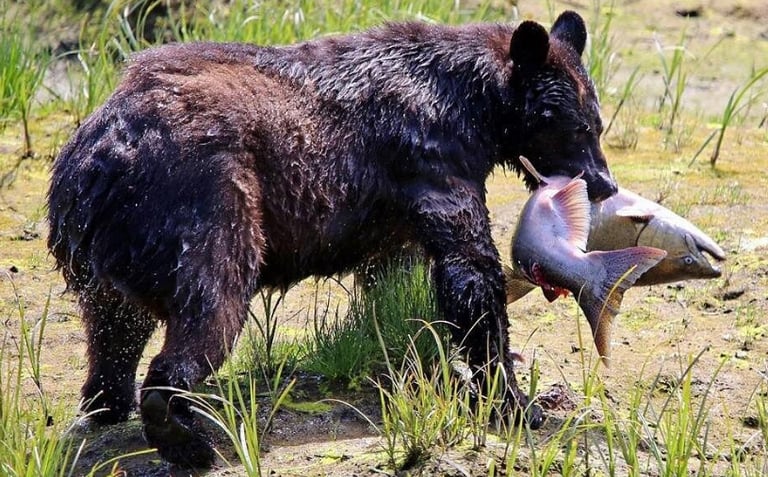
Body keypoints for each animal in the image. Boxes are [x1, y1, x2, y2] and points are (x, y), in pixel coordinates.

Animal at [47, 10, 616, 467]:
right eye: (575, 126)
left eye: (598, 123)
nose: (604, 183)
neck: (476, 110)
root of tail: (98, 154)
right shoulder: (429, 158)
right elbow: (469, 271)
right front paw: (516, 400)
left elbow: (395, 282)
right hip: (204, 205)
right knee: (208, 308)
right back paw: (189, 440)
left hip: (111, 245)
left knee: (114, 327)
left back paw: (108, 401)